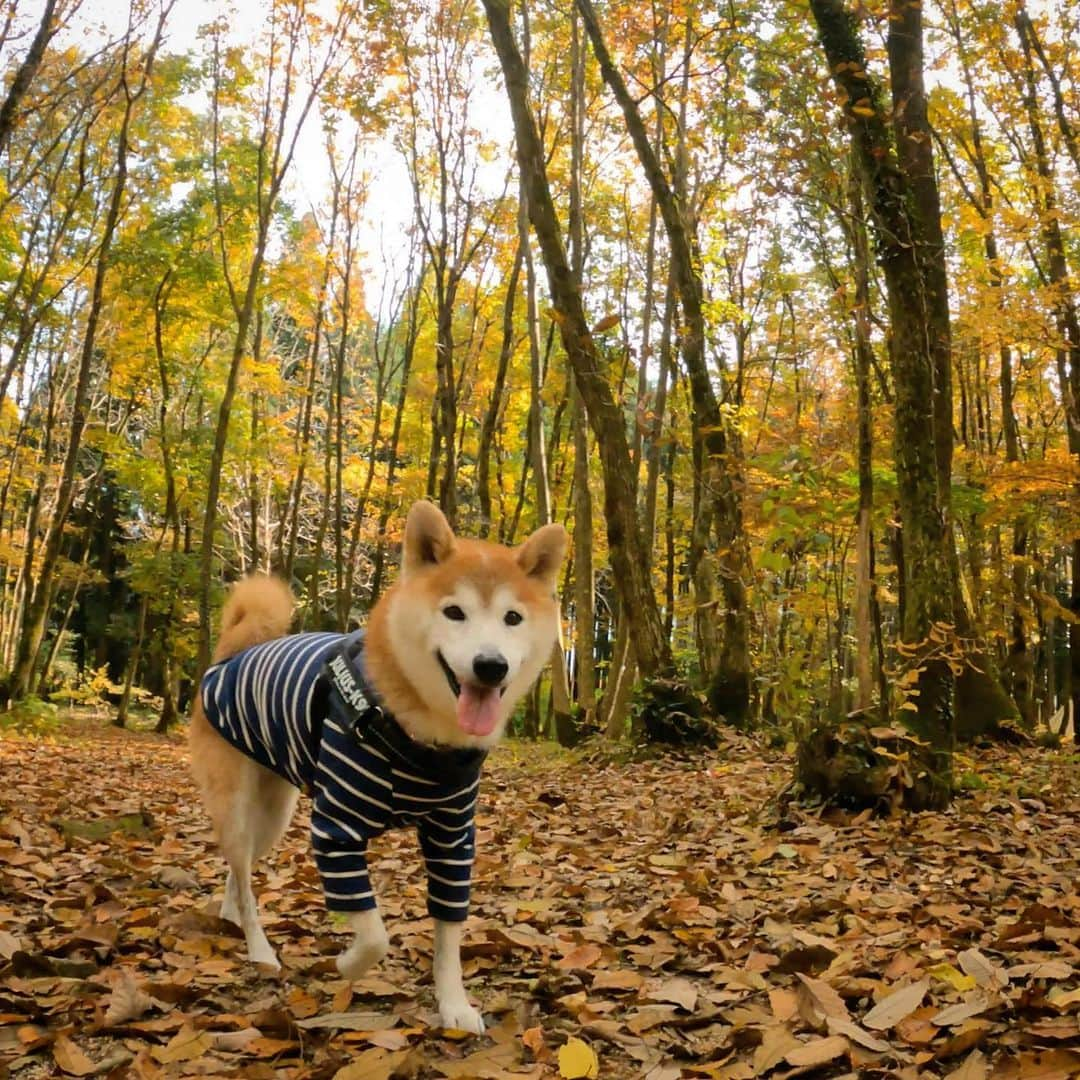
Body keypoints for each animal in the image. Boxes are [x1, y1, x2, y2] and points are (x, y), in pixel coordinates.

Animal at [190, 501, 570, 1032]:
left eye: (512, 618)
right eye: (454, 612)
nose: (490, 665)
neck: (421, 739)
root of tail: (229, 656)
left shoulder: (453, 838)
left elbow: (449, 933)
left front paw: (454, 1005)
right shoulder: (336, 830)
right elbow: (374, 935)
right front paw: (347, 965)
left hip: (272, 815)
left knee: (238, 872)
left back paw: (230, 914)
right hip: (241, 806)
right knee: (244, 875)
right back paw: (260, 948)